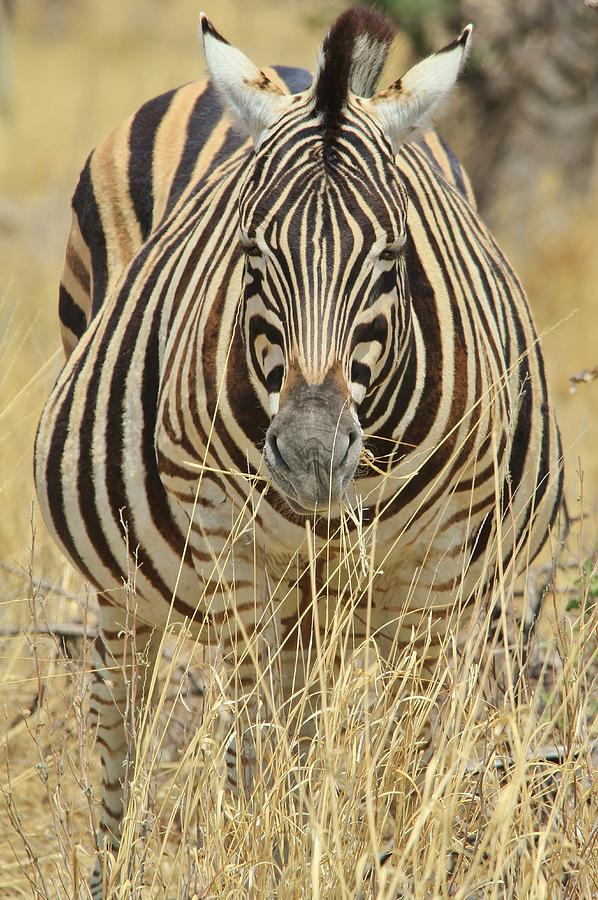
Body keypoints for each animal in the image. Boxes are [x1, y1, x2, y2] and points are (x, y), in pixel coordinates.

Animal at [34, 7, 563, 895]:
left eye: (391, 256)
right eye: (253, 253)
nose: (312, 453)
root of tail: (290, 72)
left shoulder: (434, 578)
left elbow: (405, 755)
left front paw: (384, 865)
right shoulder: (237, 563)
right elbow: (254, 759)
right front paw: (269, 864)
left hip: (319, 605)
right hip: (130, 578)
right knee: (121, 719)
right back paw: (118, 867)